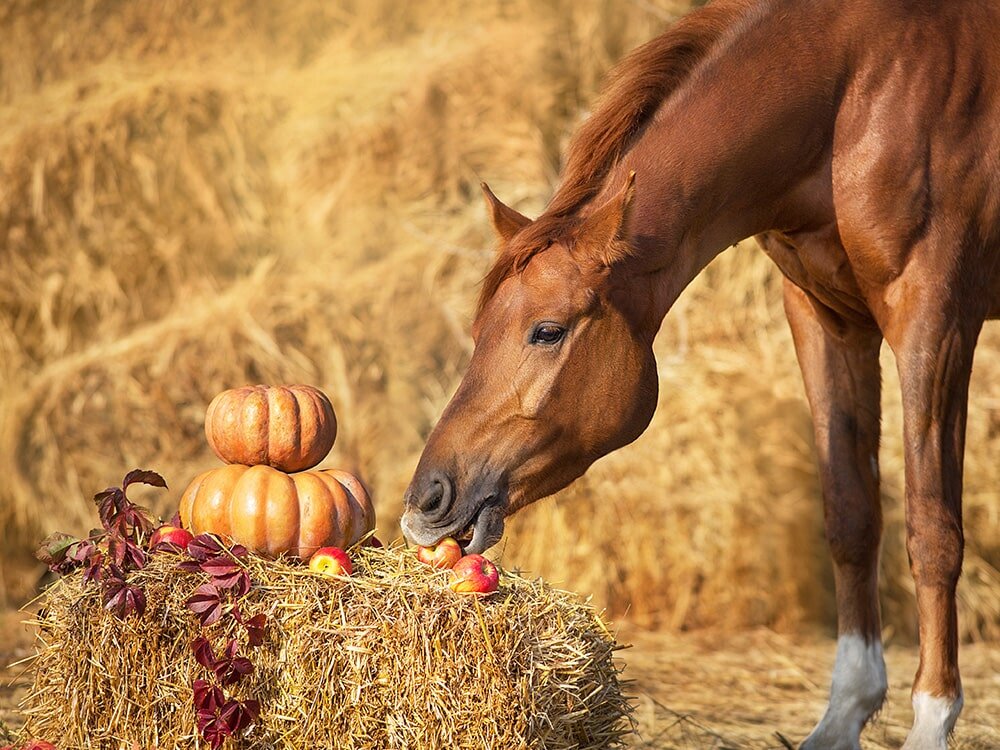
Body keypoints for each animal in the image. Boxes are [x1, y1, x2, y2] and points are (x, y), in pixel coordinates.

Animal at [400, 0, 1000, 746]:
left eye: (548, 331)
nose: (426, 501)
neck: (862, 91)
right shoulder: (825, 316)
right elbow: (851, 516)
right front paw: (844, 713)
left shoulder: (933, 319)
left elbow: (932, 528)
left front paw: (931, 718)